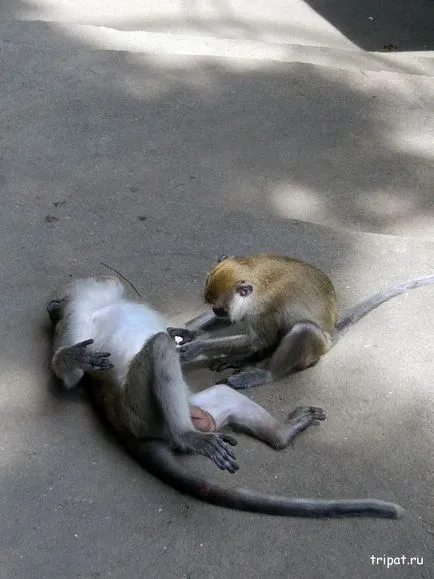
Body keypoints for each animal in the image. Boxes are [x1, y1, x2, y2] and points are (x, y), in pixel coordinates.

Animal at [47, 274, 404, 520]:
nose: (109, 277)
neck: (104, 303)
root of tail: (124, 426)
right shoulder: (78, 314)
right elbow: (71, 377)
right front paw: (74, 359)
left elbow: (183, 331)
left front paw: (199, 327)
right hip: (142, 414)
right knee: (159, 347)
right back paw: (188, 436)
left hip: (198, 407)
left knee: (223, 392)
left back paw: (282, 433)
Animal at [175, 254, 434, 390]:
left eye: (219, 307)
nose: (216, 312)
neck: (256, 277)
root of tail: (331, 333)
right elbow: (241, 325)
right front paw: (188, 334)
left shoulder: (265, 306)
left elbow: (258, 339)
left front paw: (195, 347)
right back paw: (245, 358)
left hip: (317, 347)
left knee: (304, 329)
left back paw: (265, 373)